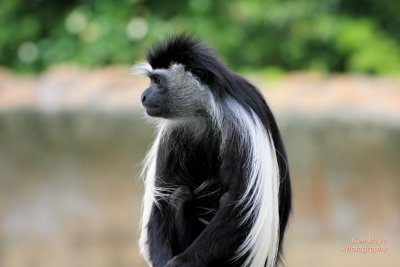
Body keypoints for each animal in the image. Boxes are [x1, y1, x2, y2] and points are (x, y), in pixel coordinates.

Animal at [134, 35, 290, 267]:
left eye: (157, 81)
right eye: (151, 80)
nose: (144, 96)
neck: (205, 110)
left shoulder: (239, 125)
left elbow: (241, 205)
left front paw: (180, 263)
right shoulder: (173, 132)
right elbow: (162, 197)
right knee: (178, 195)